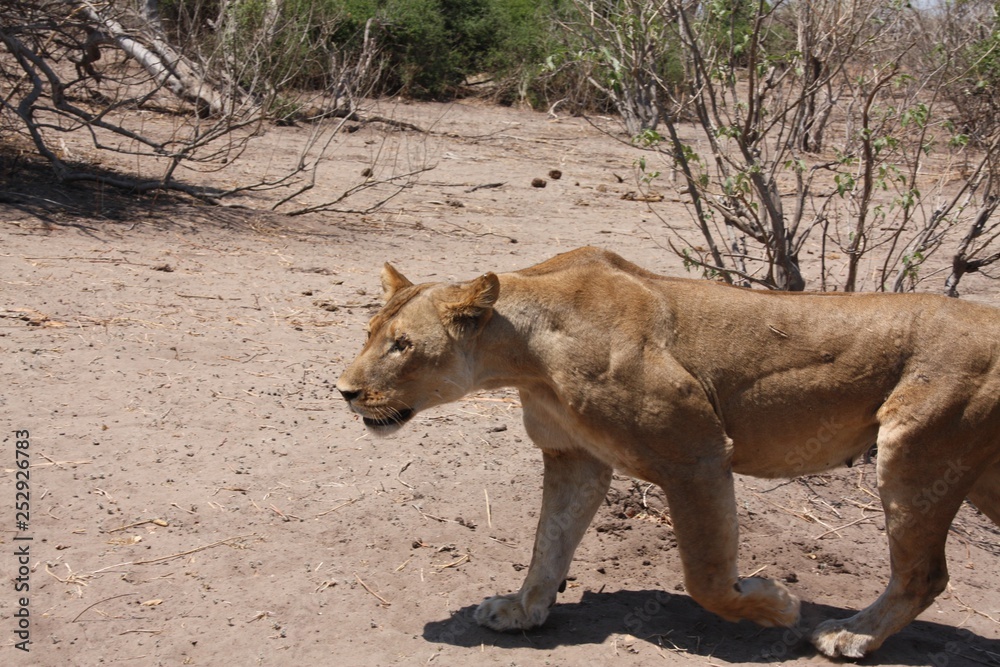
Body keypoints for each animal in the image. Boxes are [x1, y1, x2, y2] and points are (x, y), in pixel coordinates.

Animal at [336, 247, 1000, 659]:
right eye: (369, 334)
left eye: (402, 345)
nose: (343, 391)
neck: (524, 353)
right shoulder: (574, 457)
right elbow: (549, 544)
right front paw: (523, 611)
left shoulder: (696, 450)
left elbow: (704, 575)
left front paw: (775, 607)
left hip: (915, 451)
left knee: (924, 573)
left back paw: (850, 636)